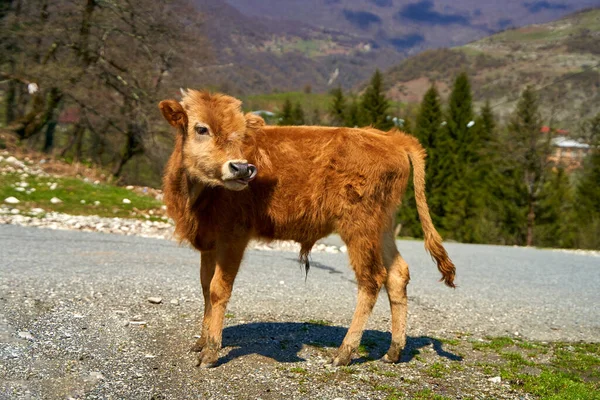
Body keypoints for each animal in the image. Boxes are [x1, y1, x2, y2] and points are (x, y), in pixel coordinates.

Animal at [159, 90, 454, 368]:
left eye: (242, 135)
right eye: (201, 128)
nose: (241, 168)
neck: (197, 195)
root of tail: (390, 137)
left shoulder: (234, 237)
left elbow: (219, 289)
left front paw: (210, 352)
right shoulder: (209, 242)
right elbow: (204, 287)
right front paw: (201, 341)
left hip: (360, 226)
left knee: (372, 279)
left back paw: (344, 353)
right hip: (382, 228)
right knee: (397, 274)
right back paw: (393, 352)